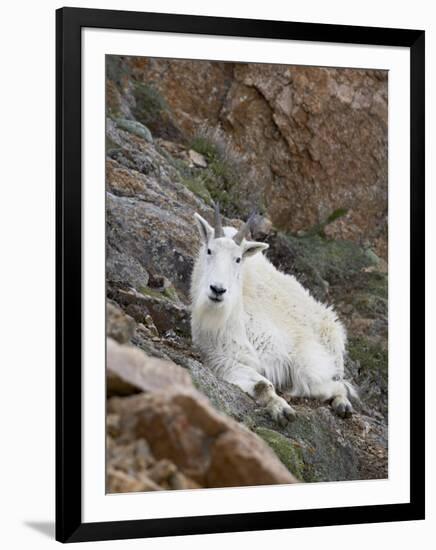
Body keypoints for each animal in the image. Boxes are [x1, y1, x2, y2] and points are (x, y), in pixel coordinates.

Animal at [191, 207, 358, 426]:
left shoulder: (298, 353)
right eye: (209, 250)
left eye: (238, 259)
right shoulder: (222, 358)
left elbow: (312, 381)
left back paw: (342, 405)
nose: (217, 290)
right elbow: (261, 384)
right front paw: (282, 410)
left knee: (337, 382)